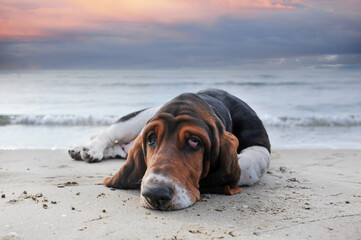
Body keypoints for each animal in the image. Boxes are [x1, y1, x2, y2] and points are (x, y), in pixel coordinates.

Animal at [68, 88, 270, 210]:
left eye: (194, 141)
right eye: (151, 139)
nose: (154, 194)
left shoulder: (261, 145)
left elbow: (245, 166)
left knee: (115, 147)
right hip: (137, 119)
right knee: (107, 134)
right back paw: (89, 149)